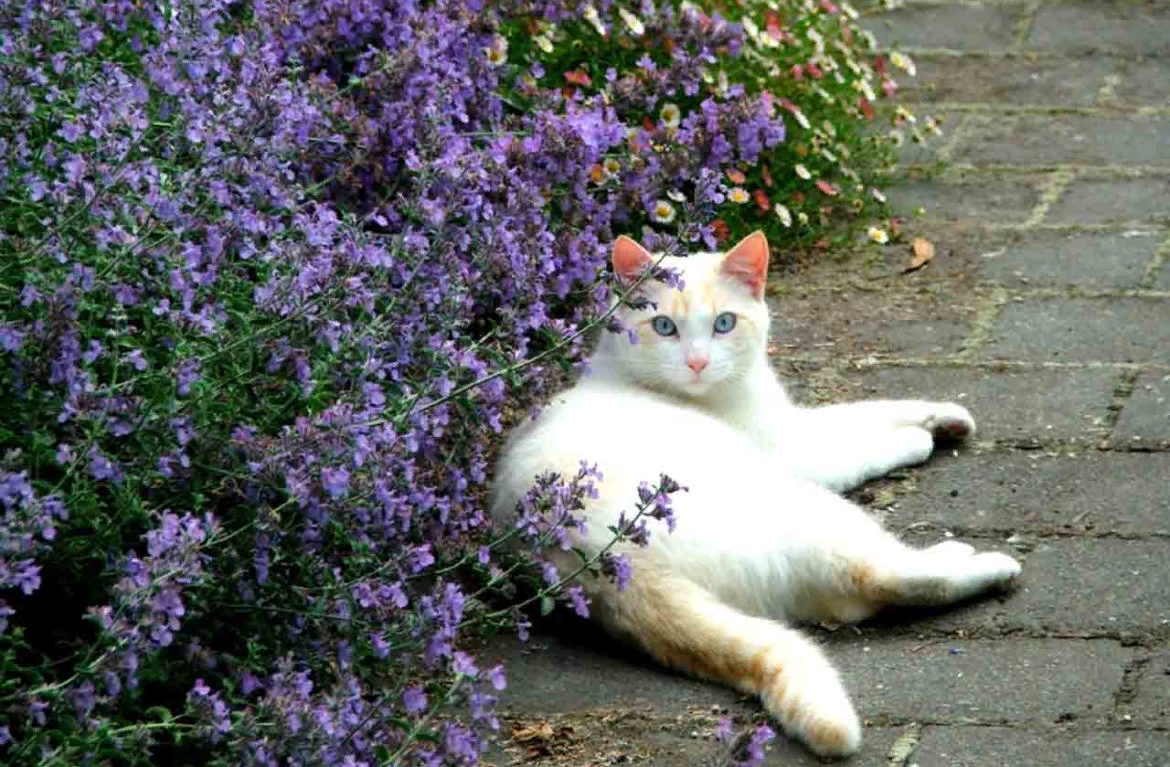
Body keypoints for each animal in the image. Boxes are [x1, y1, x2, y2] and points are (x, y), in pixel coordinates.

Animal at [489, 230, 1020, 757]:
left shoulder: (796, 423)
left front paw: (945, 417)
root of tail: (611, 565)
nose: (697, 362)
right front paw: (918, 438)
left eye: (724, 324)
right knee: (883, 576)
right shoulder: (798, 451)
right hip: (808, 505)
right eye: (663, 326)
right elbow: (863, 436)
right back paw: (976, 562)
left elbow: (869, 408)